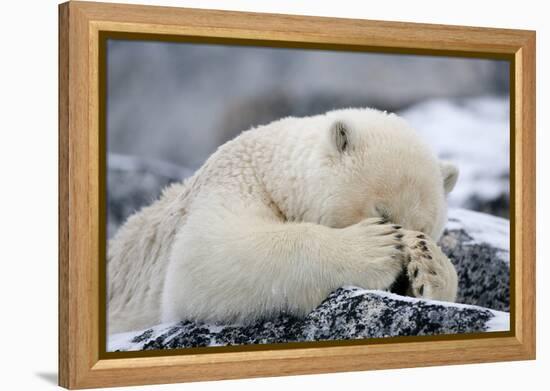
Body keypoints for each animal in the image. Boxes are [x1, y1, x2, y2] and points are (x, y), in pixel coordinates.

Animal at [108, 108, 462, 336]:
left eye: (425, 228)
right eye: (383, 214)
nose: (401, 280)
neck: (270, 168)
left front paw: (429, 265)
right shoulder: (233, 183)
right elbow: (207, 256)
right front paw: (375, 247)